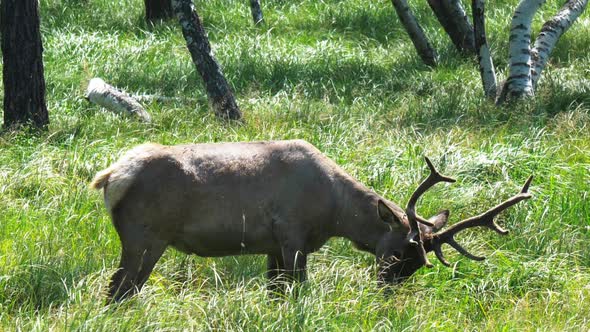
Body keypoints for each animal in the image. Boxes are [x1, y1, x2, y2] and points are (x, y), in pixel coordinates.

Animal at [92, 139, 536, 300]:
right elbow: (296, 290)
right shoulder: (292, 235)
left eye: (418, 265)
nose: (385, 292)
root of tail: (111, 176)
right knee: (119, 289)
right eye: (396, 253)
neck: (334, 212)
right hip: (145, 237)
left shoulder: (272, 244)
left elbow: (275, 291)